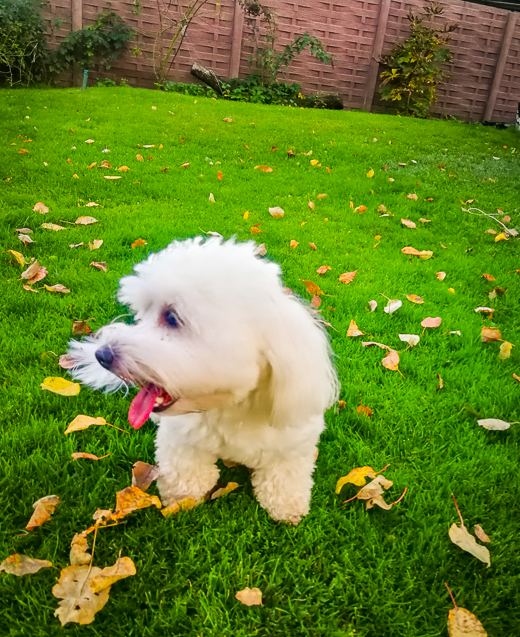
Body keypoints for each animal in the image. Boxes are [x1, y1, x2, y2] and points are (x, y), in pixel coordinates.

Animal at [68, 236, 338, 524]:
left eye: (171, 318)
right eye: (141, 315)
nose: (102, 355)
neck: (233, 405)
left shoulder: (293, 444)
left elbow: (284, 477)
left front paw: (287, 506)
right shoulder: (182, 439)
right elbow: (186, 473)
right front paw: (181, 498)